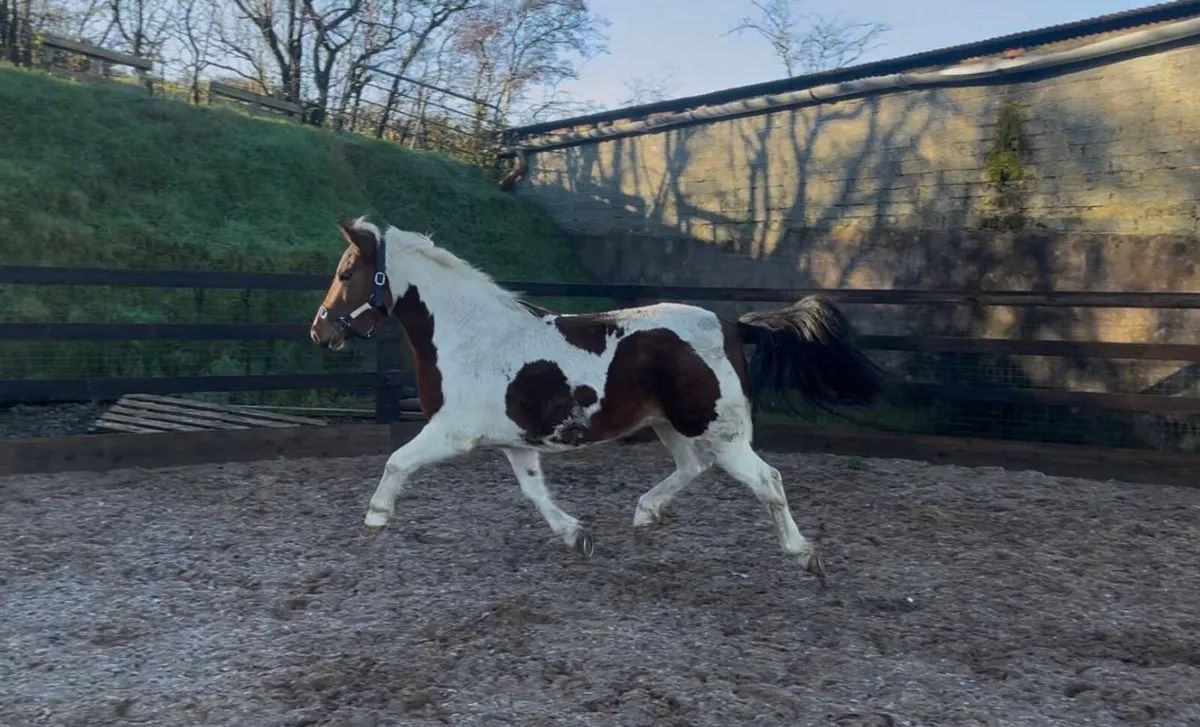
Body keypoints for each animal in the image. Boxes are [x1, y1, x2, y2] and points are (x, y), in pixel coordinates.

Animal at [309, 217, 885, 584]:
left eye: (345, 274)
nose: (319, 332)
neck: (469, 334)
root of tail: (731, 326)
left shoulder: (452, 432)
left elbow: (396, 460)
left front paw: (375, 518)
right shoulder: (516, 441)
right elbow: (534, 492)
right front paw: (576, 536)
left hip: (719, 432)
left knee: (768, 481)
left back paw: (805, 556)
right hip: (672, 425)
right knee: (693, 468)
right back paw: (646, 513)